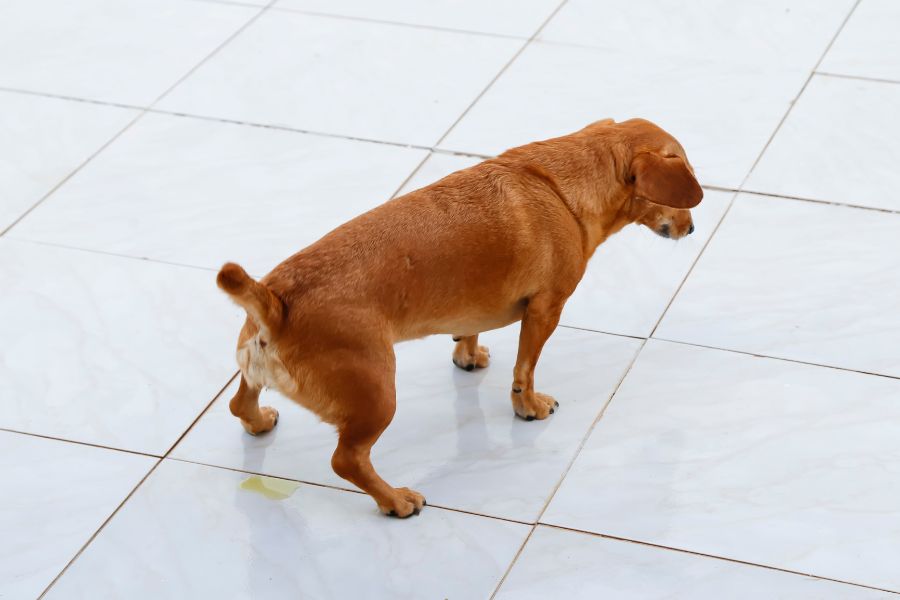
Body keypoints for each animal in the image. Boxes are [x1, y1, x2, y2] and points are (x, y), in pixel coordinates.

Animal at [216, 117, 704, 516]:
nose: (693, 227)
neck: (557, 186)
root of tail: (276, 302)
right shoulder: (546, 309)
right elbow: (525, 370)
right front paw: (528, 406)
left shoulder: (475, 304)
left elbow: (469, 330)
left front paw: (468, 355)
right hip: (378, 396)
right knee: (346, 460)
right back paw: (395, 500)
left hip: (261, 374)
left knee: (240, 402)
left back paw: (259, 422)